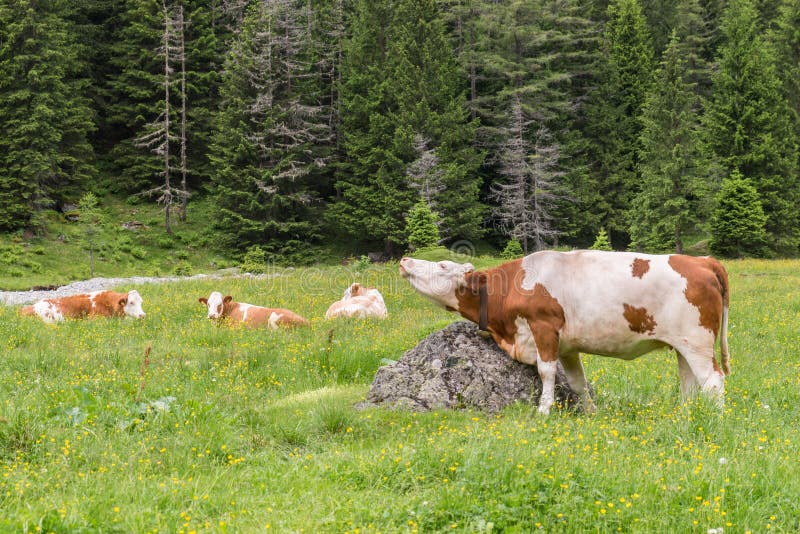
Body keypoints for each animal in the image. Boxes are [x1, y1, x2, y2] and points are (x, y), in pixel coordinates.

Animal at [400, 249, 732, 416]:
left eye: (443, 266)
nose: (404, 259)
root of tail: (702, 261)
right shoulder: (569, 347)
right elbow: (578, 383)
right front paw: (590, 413)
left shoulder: (543, 327)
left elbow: (546, 372)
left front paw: (543, 411)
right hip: (683, 344)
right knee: (690, 384)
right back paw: (685, 417)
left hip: (698, 341)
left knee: (713, 382)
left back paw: (713, 422)